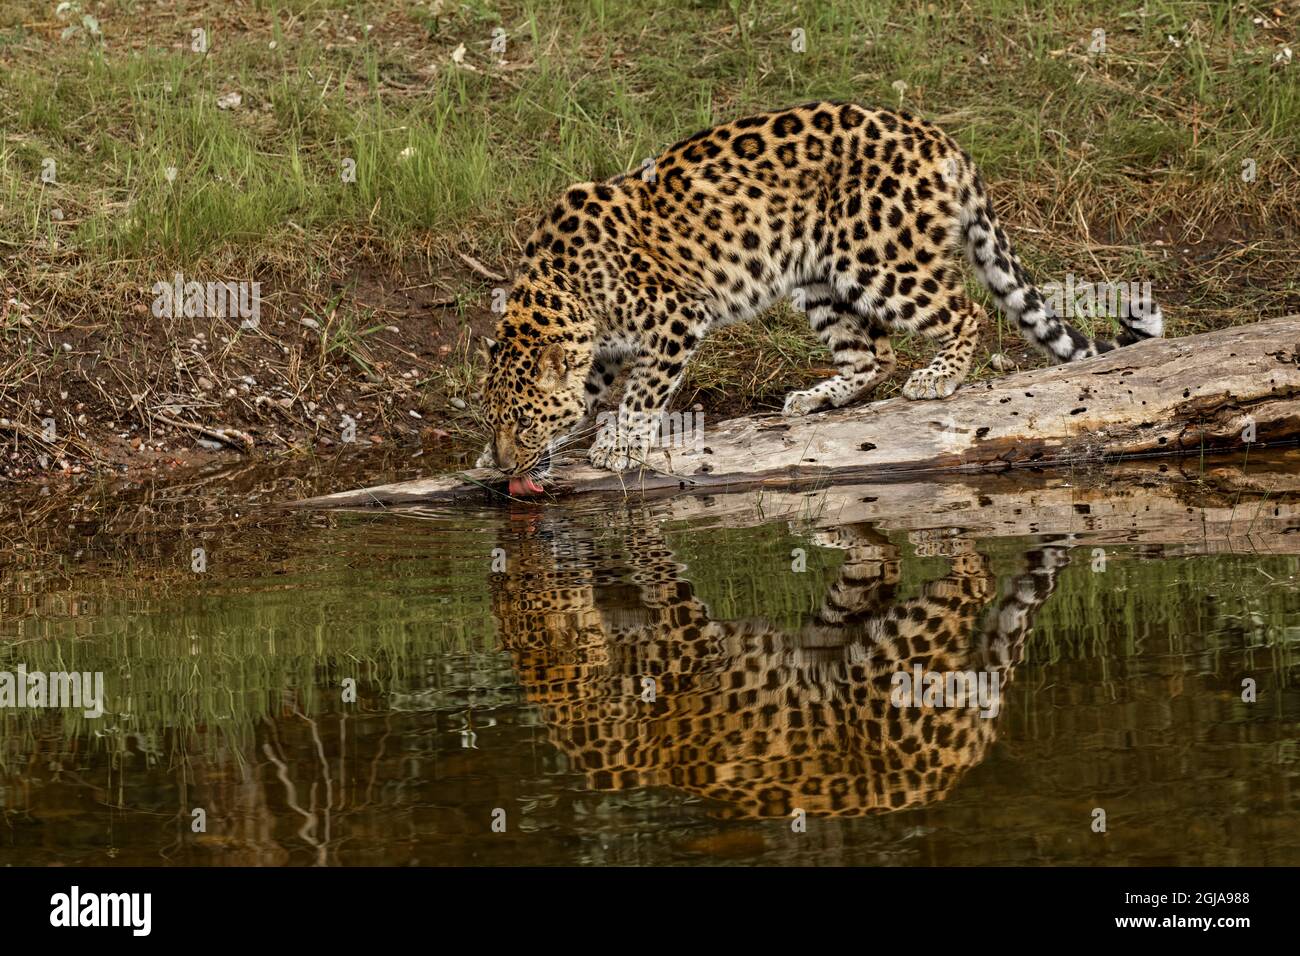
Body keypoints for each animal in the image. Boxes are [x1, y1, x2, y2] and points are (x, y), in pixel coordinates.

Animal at [475, 102, 1159, 494]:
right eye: (496, 419)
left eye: (522, 421)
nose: (507, 467)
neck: (564, 288)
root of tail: (941, 140)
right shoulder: (603, 349)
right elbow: (590, 393)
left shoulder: (676, 316)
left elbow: (642, 394)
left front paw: (618, 443)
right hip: (818, 277)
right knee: (871, 355)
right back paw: (817, 398)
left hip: (878, 257)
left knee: (961, 311)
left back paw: (937, 378)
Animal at [491, 512, 1071, 816]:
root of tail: (963, 756)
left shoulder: (691, 639)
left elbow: (659, 578)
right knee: (886, 578)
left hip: (894, 662)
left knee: (974, 580)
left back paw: (938, 536)